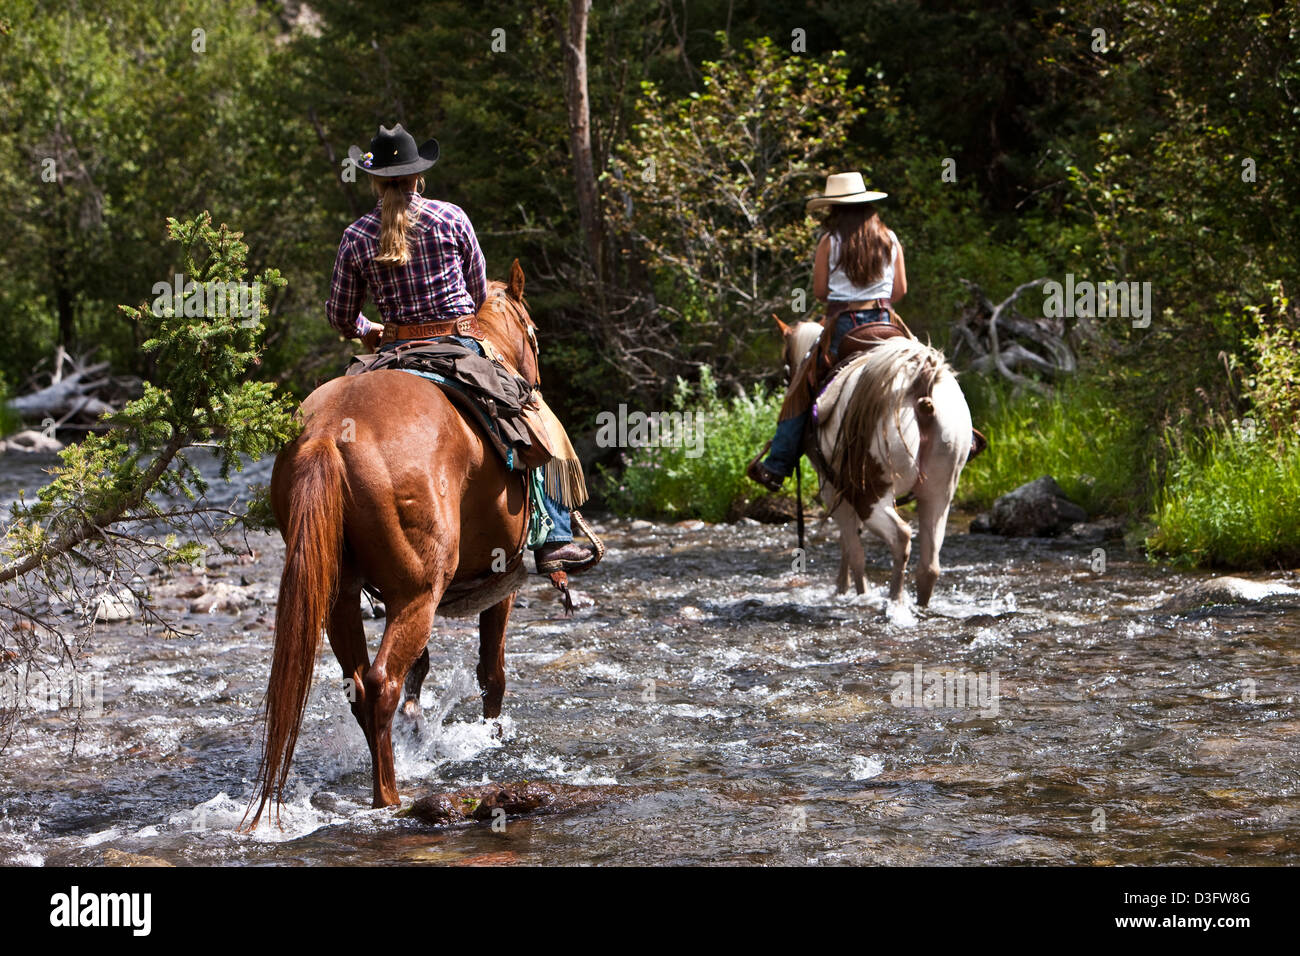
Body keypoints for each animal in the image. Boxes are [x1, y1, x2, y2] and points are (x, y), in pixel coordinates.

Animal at [245, 261, 540, 832]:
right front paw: (492, 739)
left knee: (361, 685)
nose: (535, 387)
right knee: (381, 682)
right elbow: (491, 673)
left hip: (341, 596)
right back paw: (389, 796)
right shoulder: (500, 581)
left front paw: (418, 731)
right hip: (417, 595)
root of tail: (328, 433)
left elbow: (422, 672)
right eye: (535, 334)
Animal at [774, 319, 972, 606]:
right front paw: (842, 589)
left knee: (900, 537)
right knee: (929, 566)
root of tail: (920, 384)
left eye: (787, 363)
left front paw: (851, 591)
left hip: (872, 494)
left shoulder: (832, 488)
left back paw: (894, 600)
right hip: (938, 494)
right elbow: (848, 543)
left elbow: (852, 549)